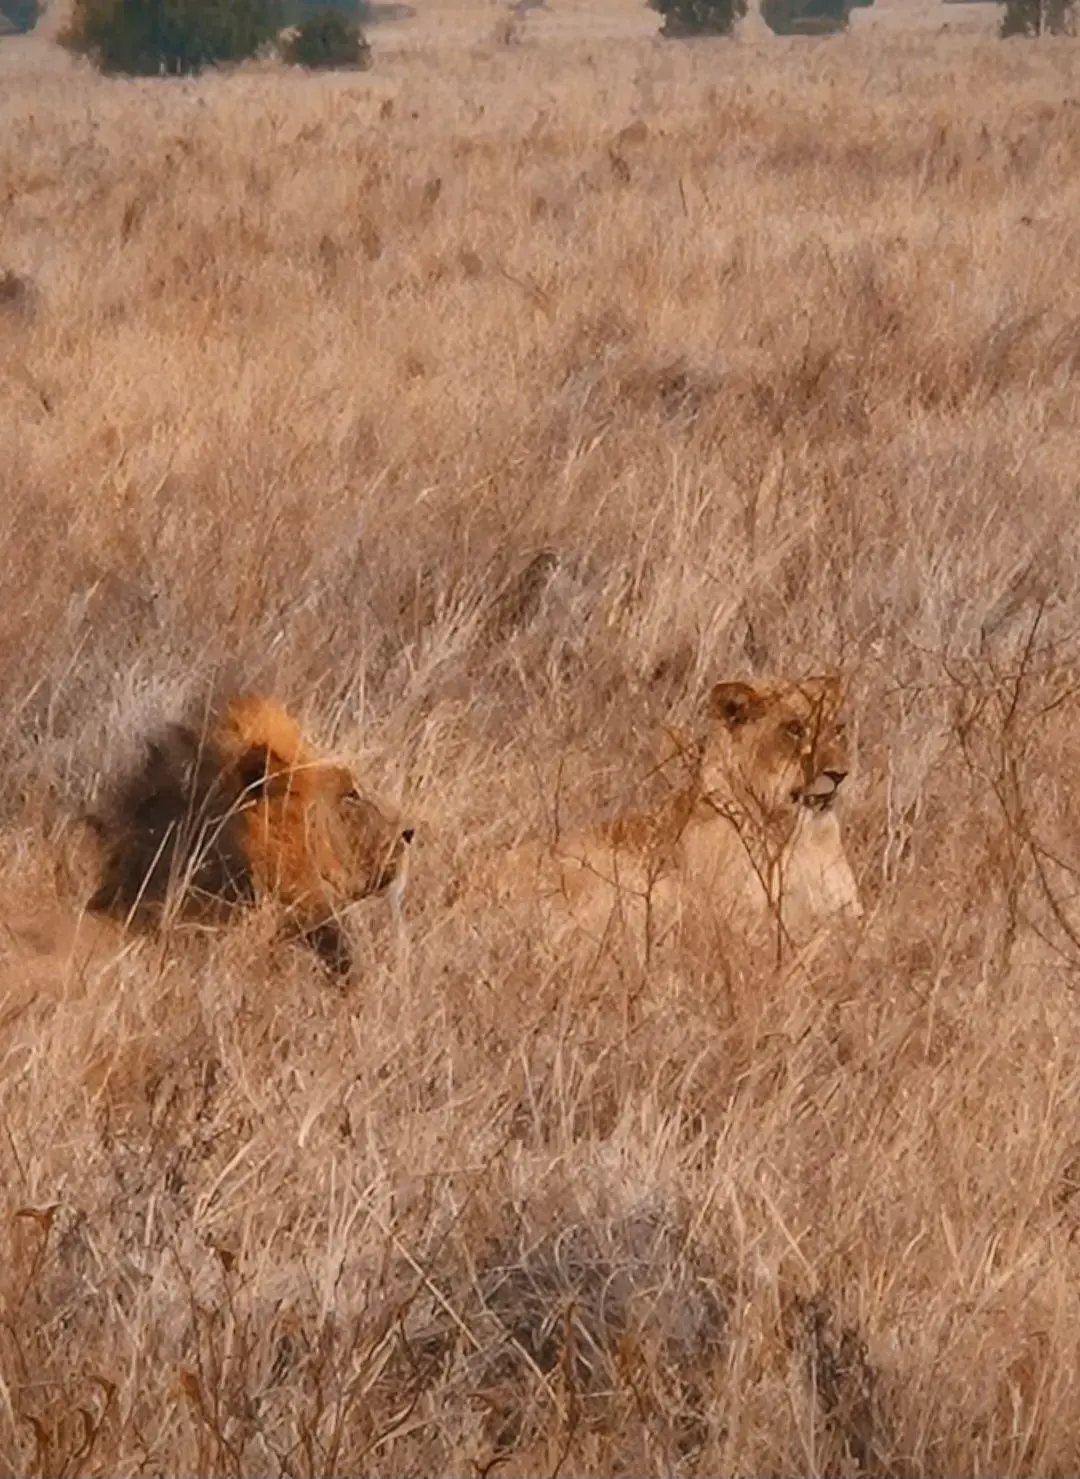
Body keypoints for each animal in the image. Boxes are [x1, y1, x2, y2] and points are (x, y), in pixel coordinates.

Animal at [483, 675, 862, 962]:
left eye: (838, 728)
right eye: (794, 729)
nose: (840, 774)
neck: (800, 835)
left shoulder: (848, 913)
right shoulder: (742, 923)